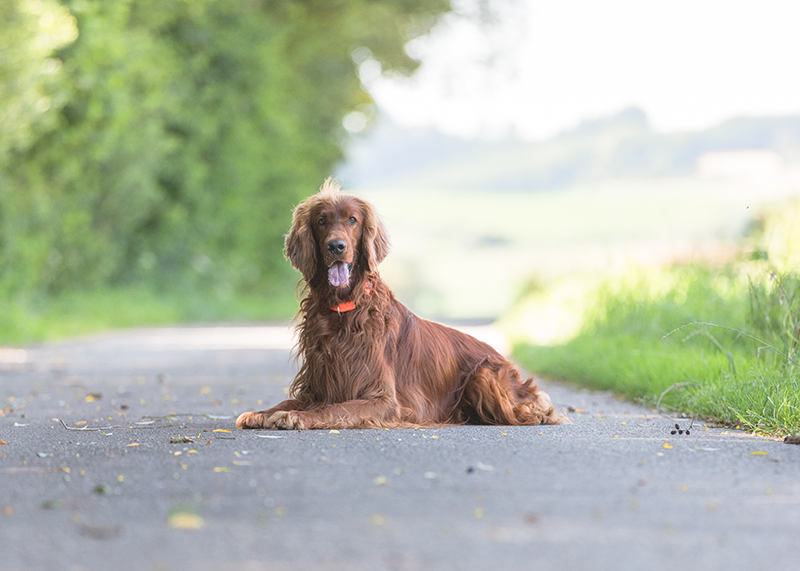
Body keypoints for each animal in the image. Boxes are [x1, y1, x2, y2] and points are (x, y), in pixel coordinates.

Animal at [238, 179, 568, 428]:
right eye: (321, 221)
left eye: (352, 220)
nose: (336, 246)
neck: (344, 310)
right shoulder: (318, 385)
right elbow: (289, 400)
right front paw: (262, 412)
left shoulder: (383, 400)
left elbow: (332, 409)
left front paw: (294, 417)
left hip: (485, 374)